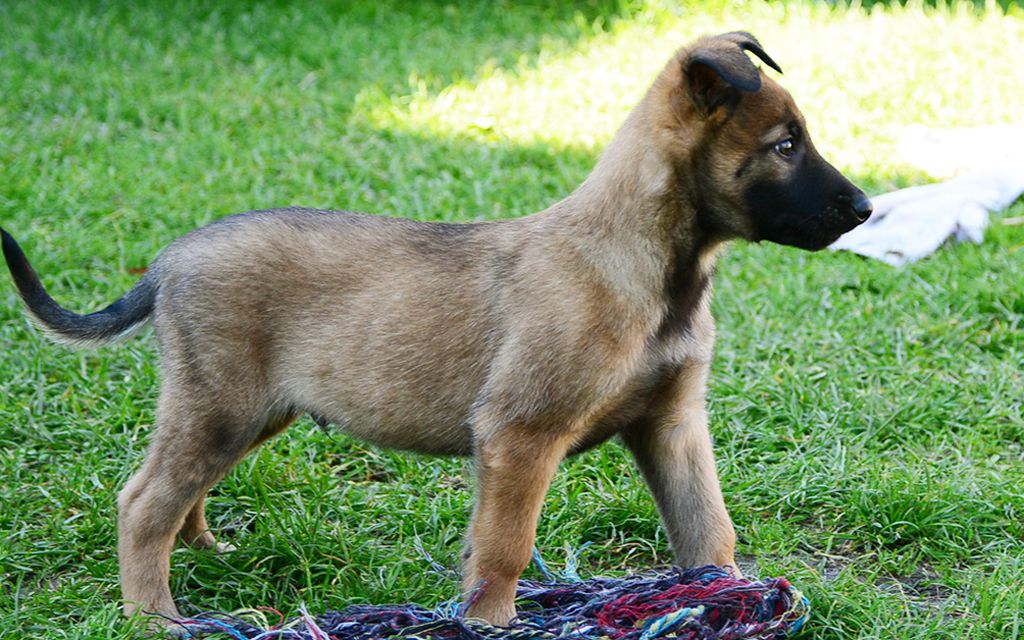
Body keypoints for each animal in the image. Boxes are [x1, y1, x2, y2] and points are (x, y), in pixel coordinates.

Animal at [0, 31, 868, 630]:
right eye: (785, 146)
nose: (864, 209)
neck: (658, 270)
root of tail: (169, 260)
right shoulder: (521, 435)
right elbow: (503, 545)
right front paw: (492, 624)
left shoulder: (673, 423)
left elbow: (708, 529)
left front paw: (729, 599)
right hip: (220, 404)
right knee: (143, 500)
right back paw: (153, 613)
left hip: (245, 412)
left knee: (181, 491)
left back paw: (204, 553)